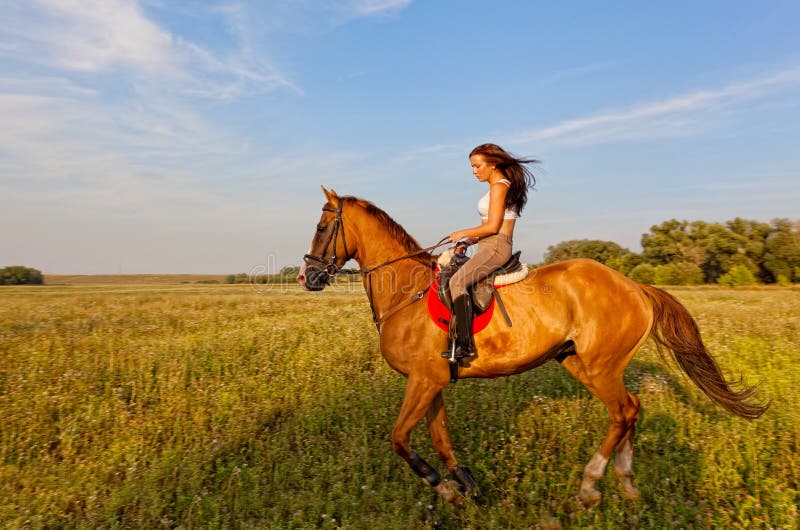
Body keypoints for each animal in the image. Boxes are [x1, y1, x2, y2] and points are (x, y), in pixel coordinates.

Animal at [297, 187, 768, 506]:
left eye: (321, 227)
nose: (308, 277)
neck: (404, 292)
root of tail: (634, 285)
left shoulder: (424, 381)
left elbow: (399, 439)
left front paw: (444, 488)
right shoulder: (431, 381)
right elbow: (440, 437)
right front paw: (466, 485)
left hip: (599, 366)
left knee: (624, 412)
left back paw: (591, 485)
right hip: (580, 363)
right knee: (632, 410)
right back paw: (627, 484)